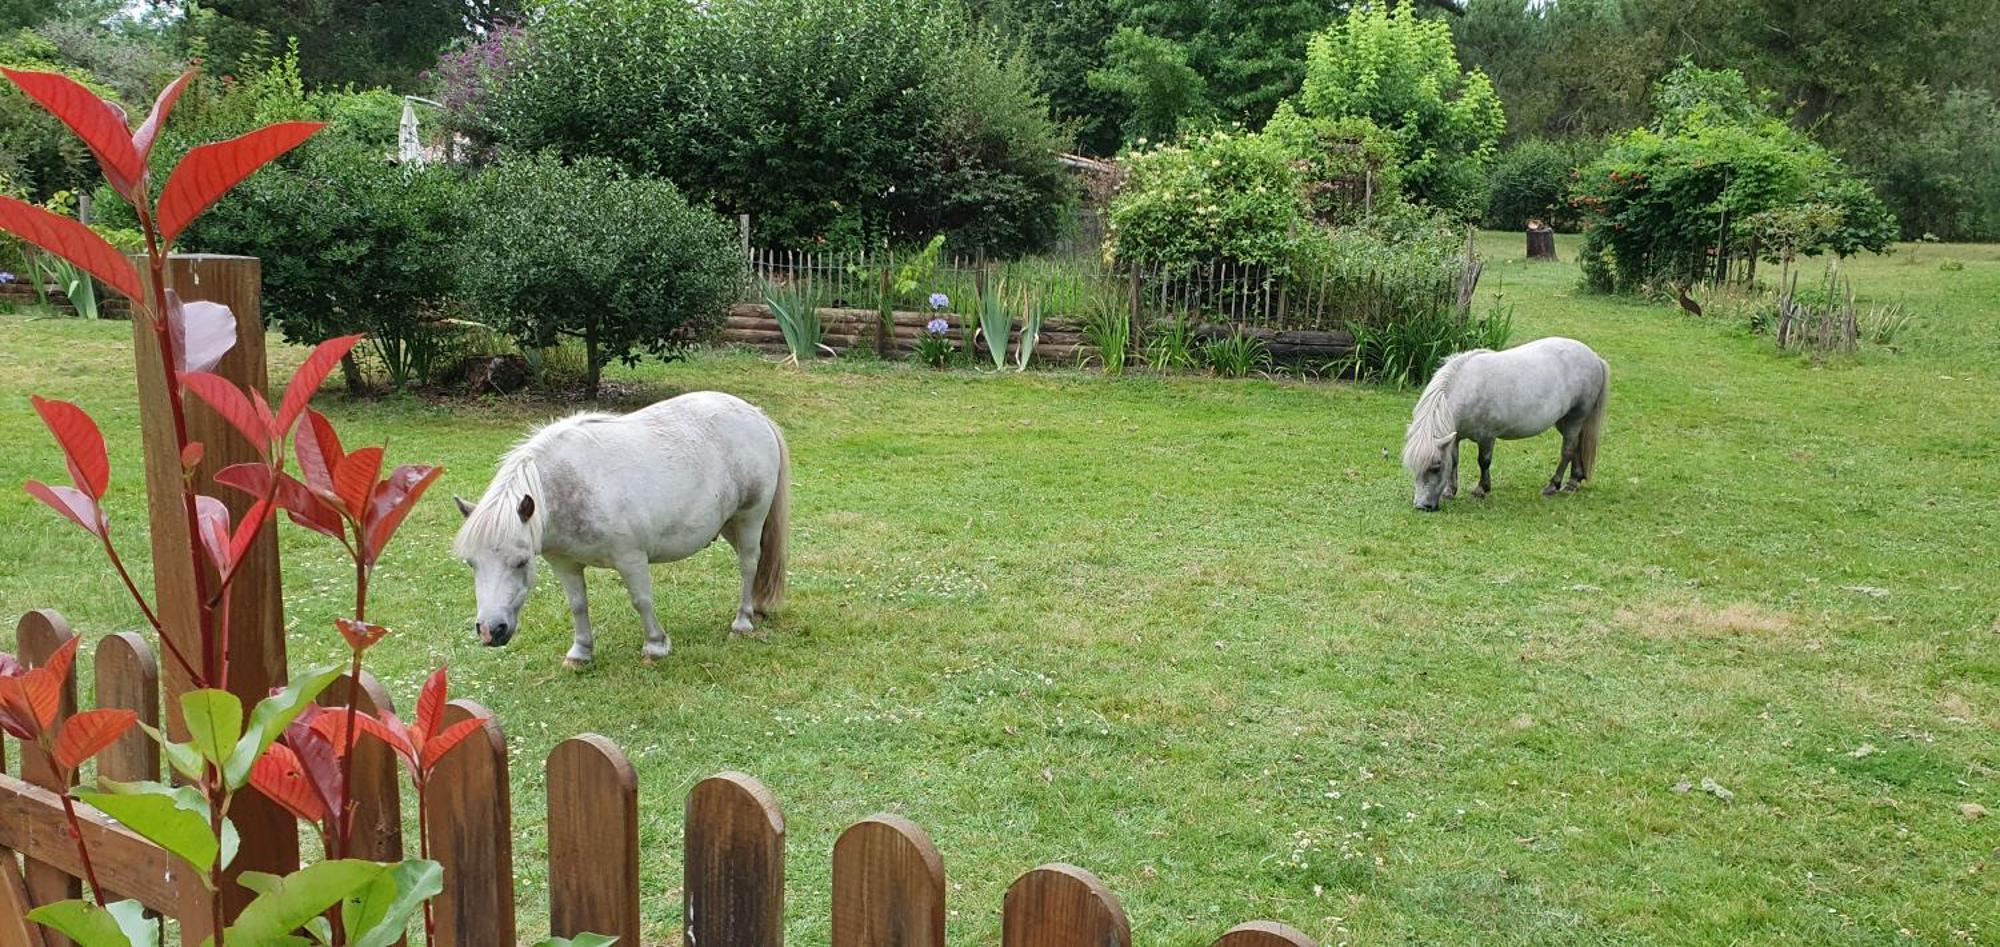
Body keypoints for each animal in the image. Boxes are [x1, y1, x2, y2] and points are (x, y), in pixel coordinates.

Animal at [454, 389, 788, 667]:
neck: (571, 486)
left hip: (749, 518)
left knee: (748, 564)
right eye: (471, 563)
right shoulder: (565, 564)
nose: (490, 631)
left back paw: (742, 622)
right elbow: (578, 605)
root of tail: (756, 414)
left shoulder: (631, 559)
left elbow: (641, 601)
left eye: (521, 562)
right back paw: (756, 609)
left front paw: (655, 646)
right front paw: (580, 653)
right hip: (729, 524)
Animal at [1408, 335, 1608, 511]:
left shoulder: (1487, 437)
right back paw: (1574, 481)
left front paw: (1481, 489)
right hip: (1564, 422)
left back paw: (1553, 485)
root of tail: (1594, 357)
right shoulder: (1455, 438)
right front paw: (1450, 491)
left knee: (1568, 450)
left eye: (1435, 468)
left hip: (1575, 418)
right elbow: (1455, 462)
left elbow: (1484, 461)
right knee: (1576, 446)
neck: (1469, 389)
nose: (1422, 506)